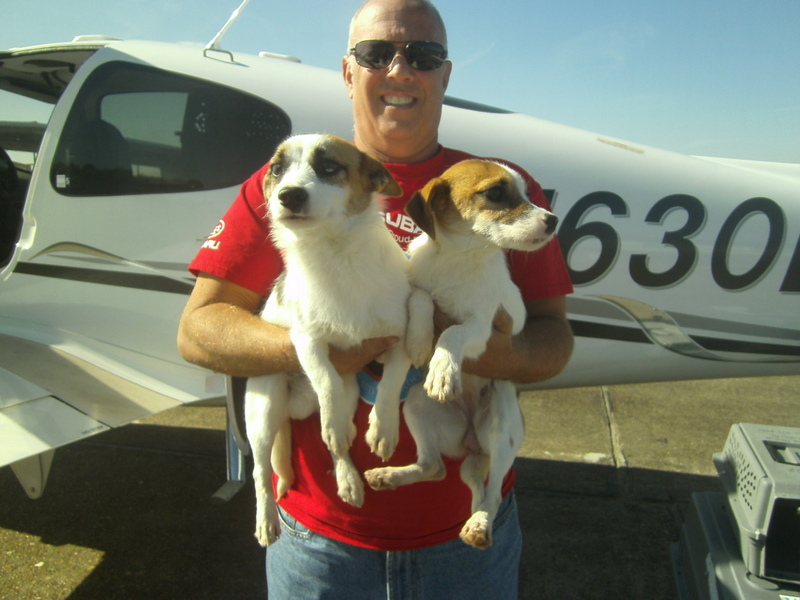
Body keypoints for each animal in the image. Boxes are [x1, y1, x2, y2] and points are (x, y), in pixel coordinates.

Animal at [245, 134, 412, 548]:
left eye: (329, 167)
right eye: (277, 169)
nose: (288, 195)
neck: (336, 254)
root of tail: (295, 406)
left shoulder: (402, 337)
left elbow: (391, 383)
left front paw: (383, 427)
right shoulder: (307, 342)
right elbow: (325, 381)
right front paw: (338, 421)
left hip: (351, 391)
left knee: (338, 445)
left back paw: (348, 477)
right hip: (262, 410)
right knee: (262, 470)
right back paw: (266, 517)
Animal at [362, 158, 556, 548]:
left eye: (528, 193)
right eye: (494, 193)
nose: (553, 220)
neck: (456, 260)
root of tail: (472, 443)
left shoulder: (483, 328)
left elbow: (452, 331)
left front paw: (442, 368)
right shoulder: (410, 300)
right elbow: (420, 301)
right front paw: (421, 340)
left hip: (501, 423)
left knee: (491, 494)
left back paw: (479, 524)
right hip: (417, 406)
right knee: (435, 468)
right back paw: (390, 476)